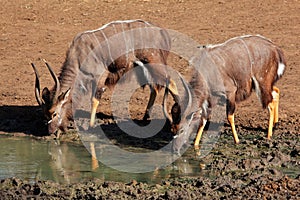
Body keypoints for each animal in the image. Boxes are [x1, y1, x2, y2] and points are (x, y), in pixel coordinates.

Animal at [31, 19, 179, 135]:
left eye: (54, 113)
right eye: (45, 114)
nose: (51, 131)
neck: (79, 55)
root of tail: (163, 33)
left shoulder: (100, 77)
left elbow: (94, 99)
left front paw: (91, 125)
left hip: (154, 63)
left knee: (171, 82)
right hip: (144, 67)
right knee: (155, 88)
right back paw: (145, 117)